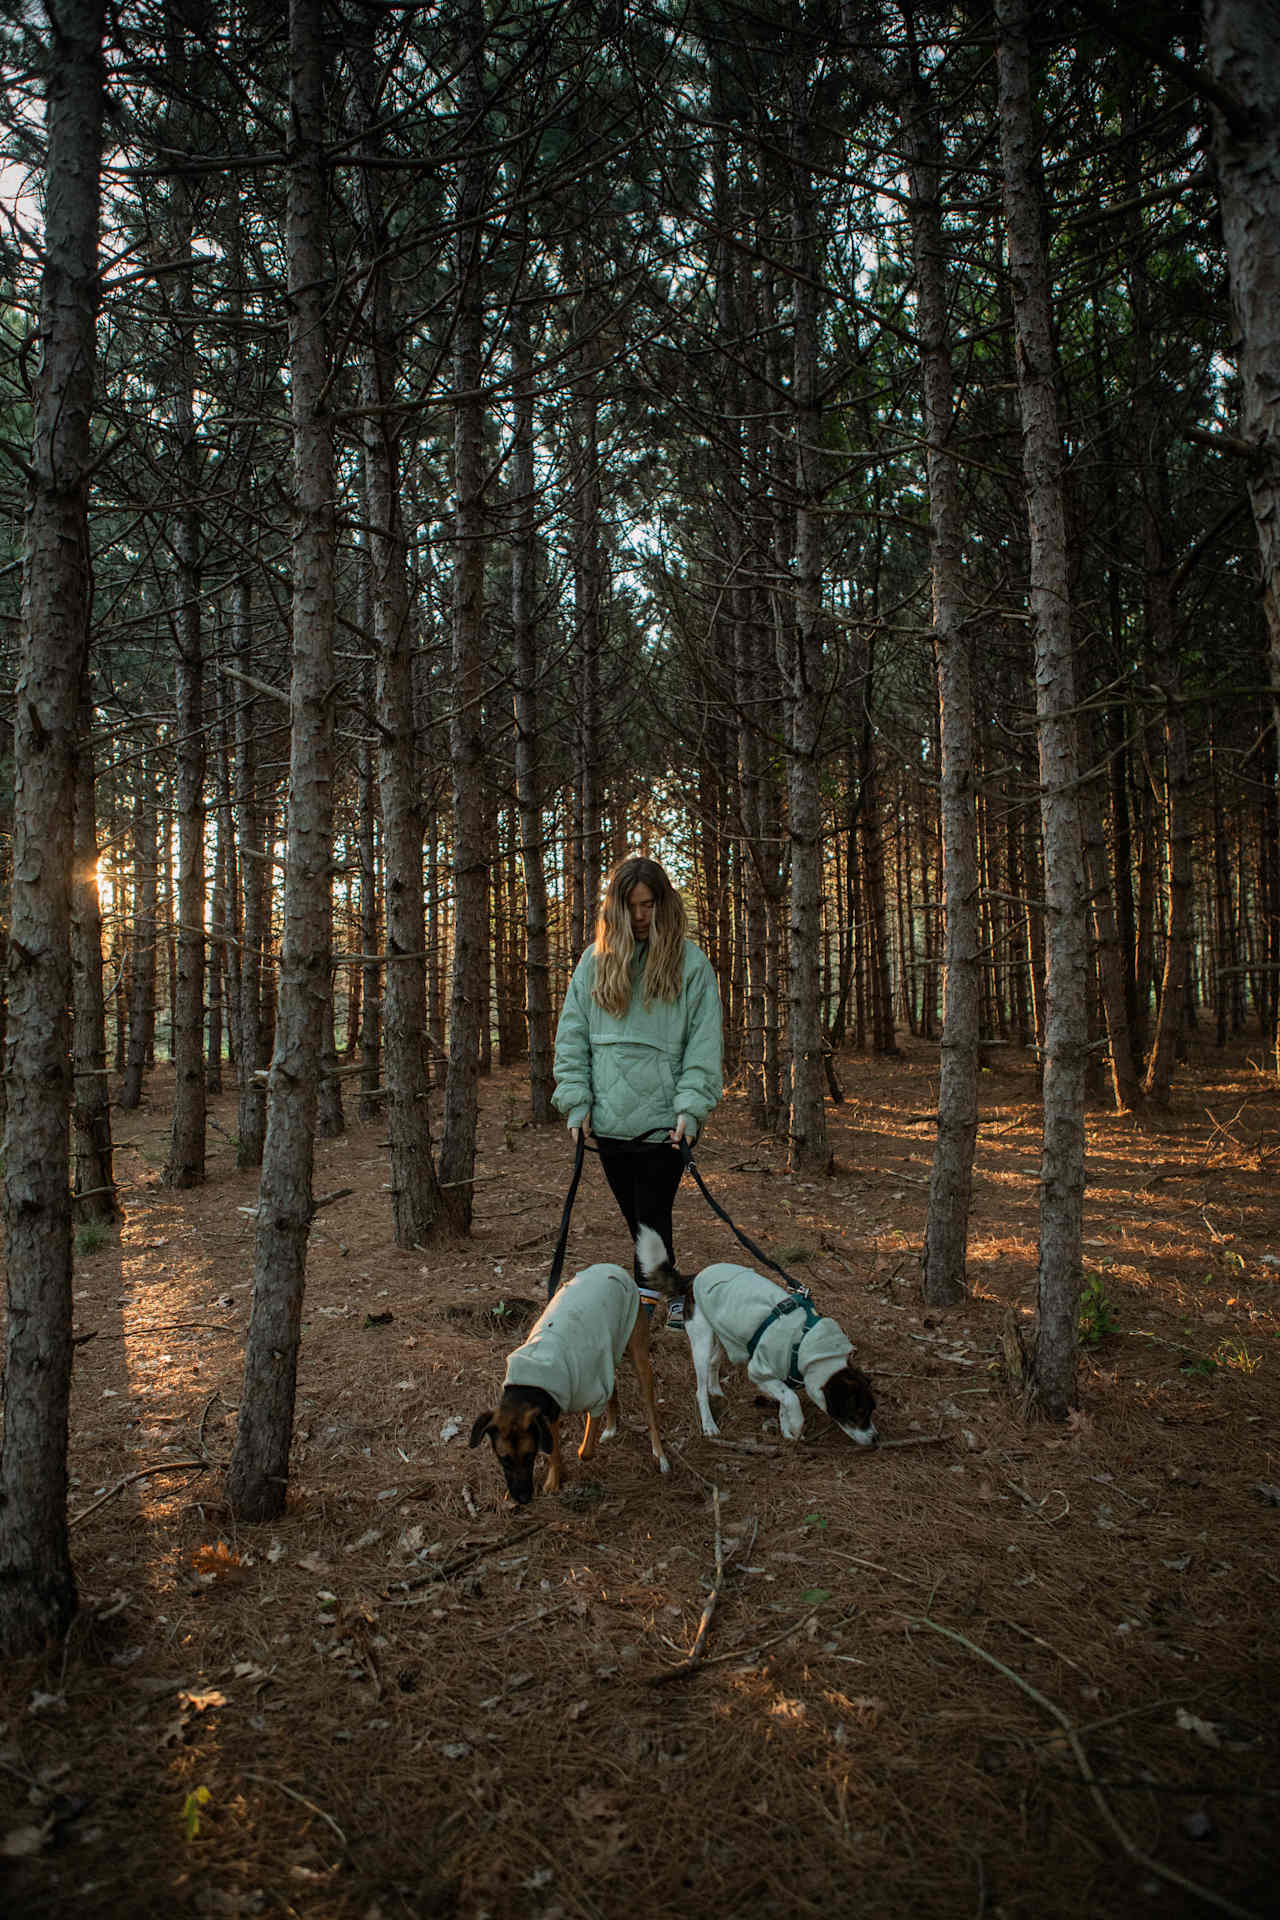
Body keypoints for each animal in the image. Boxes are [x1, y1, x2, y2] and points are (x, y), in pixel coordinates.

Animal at [470, 1267, 671, 1505]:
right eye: (504, 1459)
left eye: (530, 1456)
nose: (523, 1498)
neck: (529, 1387)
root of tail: (613, 1268)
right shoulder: (549, 1415)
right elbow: (554, 1451)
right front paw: (555, 1479)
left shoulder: (592, 1398)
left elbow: (584, 1452)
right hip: (609, 1349)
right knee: (613, 1384)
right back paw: (612, 1428)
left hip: (637, 1355)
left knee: (648, 1411)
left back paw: (659, 1455)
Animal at [637, 1228, 875, 1443]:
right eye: (857, 1414)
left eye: (871, 1410)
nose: (875, 1439)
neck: (807, 1345)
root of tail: (695, 1276)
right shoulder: (759, 1371)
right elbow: (792, 1398)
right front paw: (797, 1424)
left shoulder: (780, 1375)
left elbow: (784, 1401)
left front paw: (787, 1429)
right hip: (702, 1341)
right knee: (700, 1389)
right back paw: (709, 1424)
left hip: (722, 1333)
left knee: (715, 1362)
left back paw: (716, 1390)